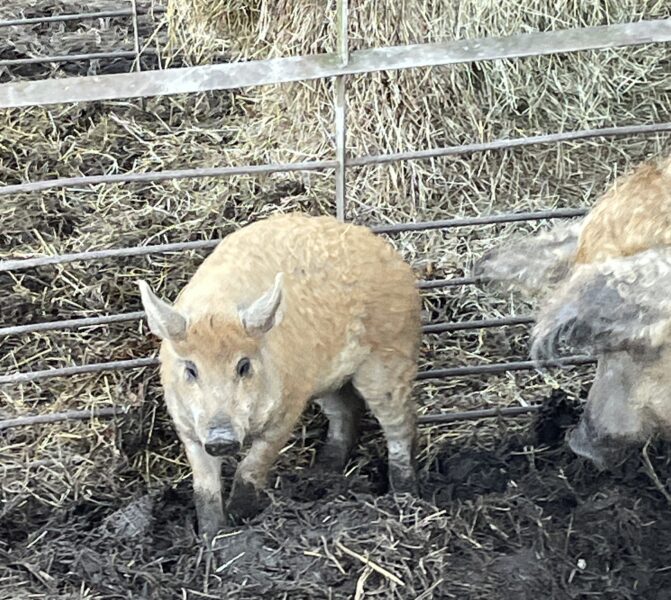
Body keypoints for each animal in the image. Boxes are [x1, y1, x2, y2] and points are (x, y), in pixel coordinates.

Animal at [137, 212, 421, 538]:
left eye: (244, 365)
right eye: (191, 369)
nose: (221, 438)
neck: (217, 308)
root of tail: (387, 252)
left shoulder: (288, 407)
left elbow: (251, 468)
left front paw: (239, 520)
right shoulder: (188, 429)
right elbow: (204, 489)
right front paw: (211, 536)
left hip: (390, 356)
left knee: (401, 423)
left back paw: (404, 494)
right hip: (326, 381)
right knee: (346, 410)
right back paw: (321, 472)